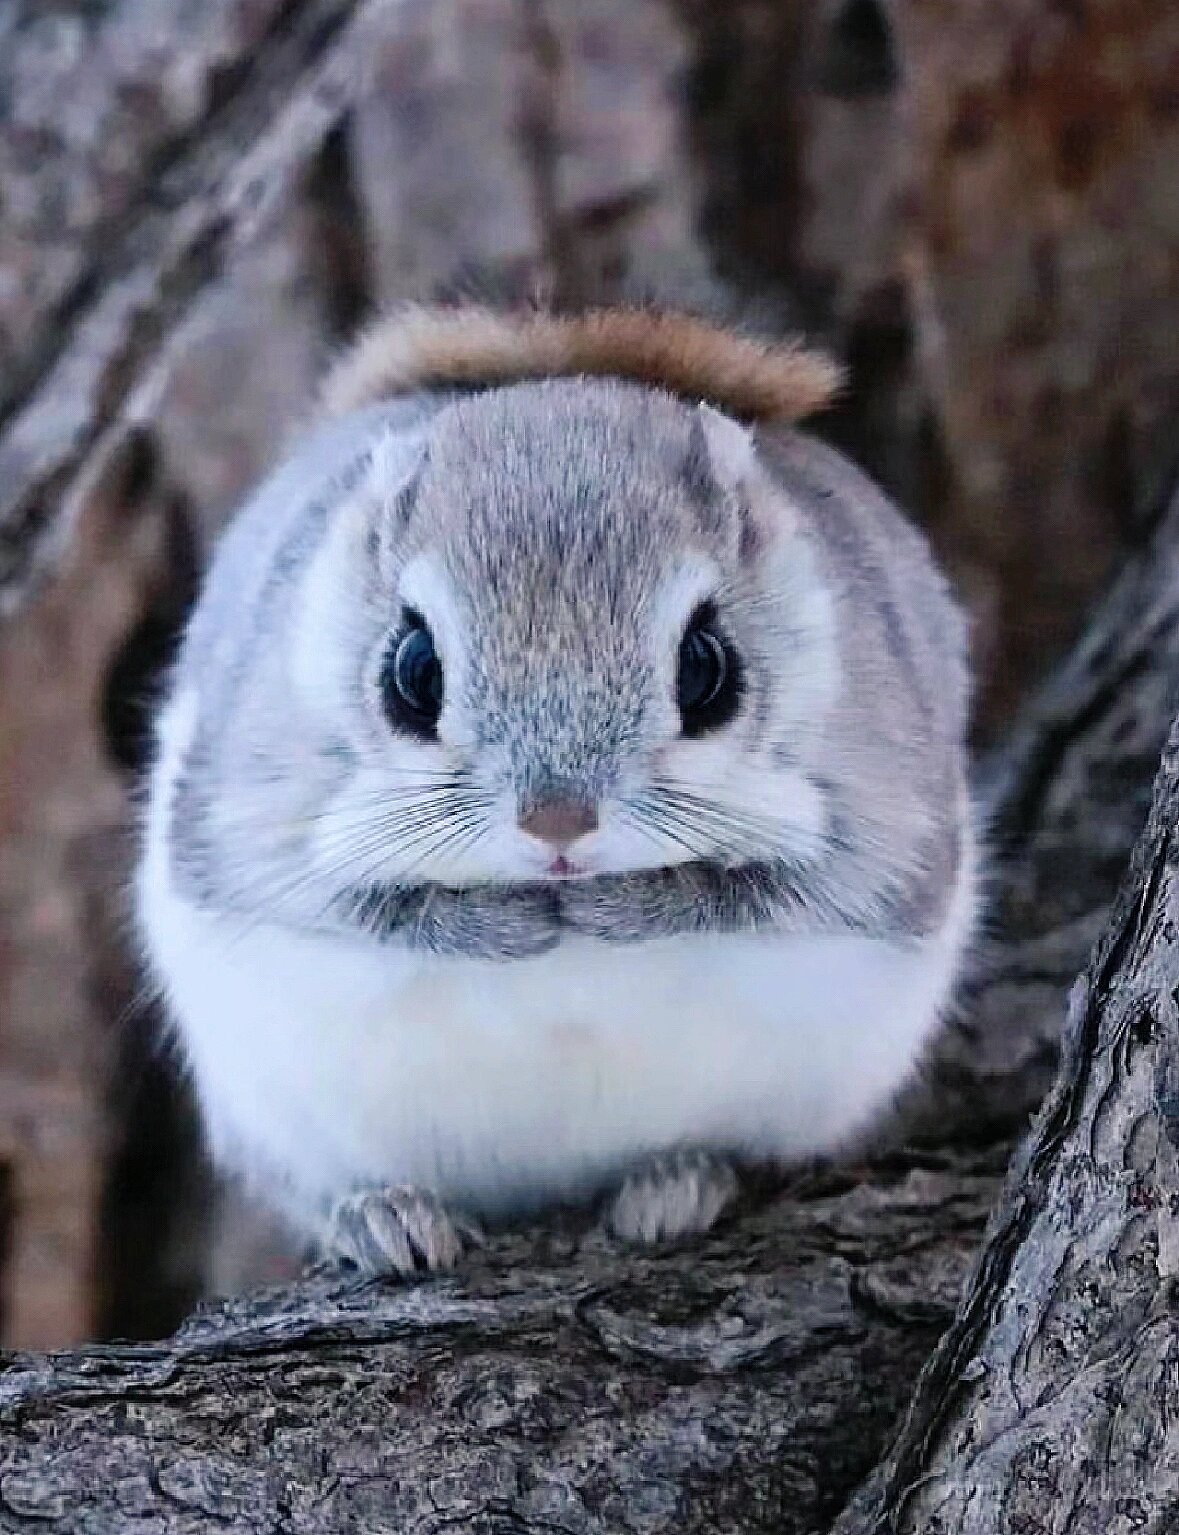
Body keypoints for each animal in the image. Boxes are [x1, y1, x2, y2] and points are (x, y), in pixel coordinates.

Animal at [135, 302, 976, 1270]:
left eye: (707, 668)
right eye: (411, 671)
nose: (558, 823)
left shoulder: (878, 819)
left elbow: (769, 892)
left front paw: (624, 907)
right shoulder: (257, 816)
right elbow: (357, 905)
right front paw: (506, 921)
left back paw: (679, 1182)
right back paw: (382, 1217)